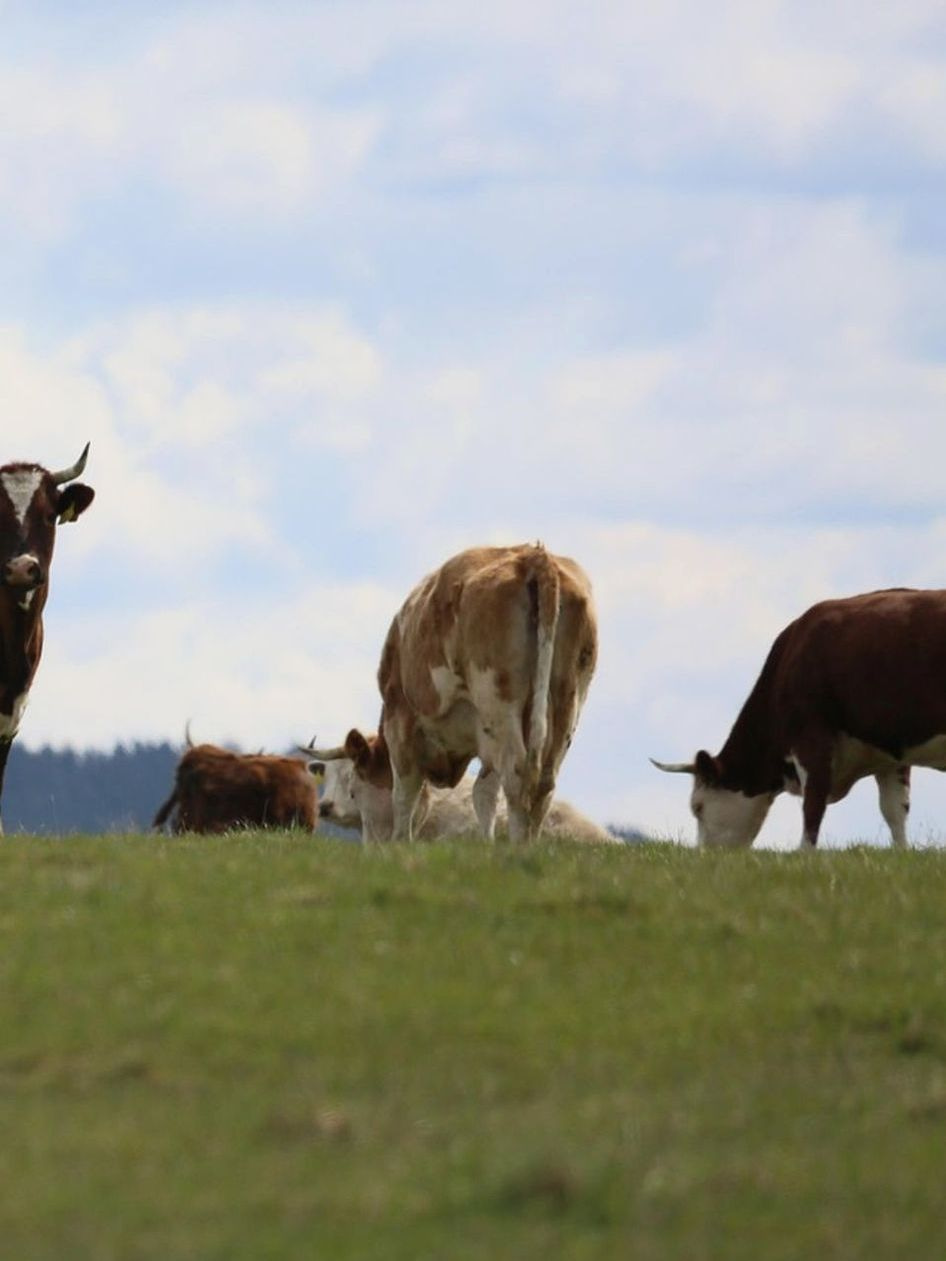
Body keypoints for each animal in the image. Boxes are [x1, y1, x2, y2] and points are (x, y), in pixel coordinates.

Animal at [317, 542, 598, 842]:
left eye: (353, 790)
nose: (371, 844)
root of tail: (535, 556)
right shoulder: (485, 742)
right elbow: (483, 795)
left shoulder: (400, 722)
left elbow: (404, 793)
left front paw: (400, 842)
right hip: (567, 703)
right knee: (544, 783)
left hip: (498, 702)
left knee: (517, 776)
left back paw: (516, 847)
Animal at [650, 587, 946, 849]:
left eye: (697, 807)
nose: (704, 855)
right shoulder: (890, 750)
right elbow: (894, 811)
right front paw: (902, 853)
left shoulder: (811, 738)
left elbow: (813, 804)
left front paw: (805, 854)